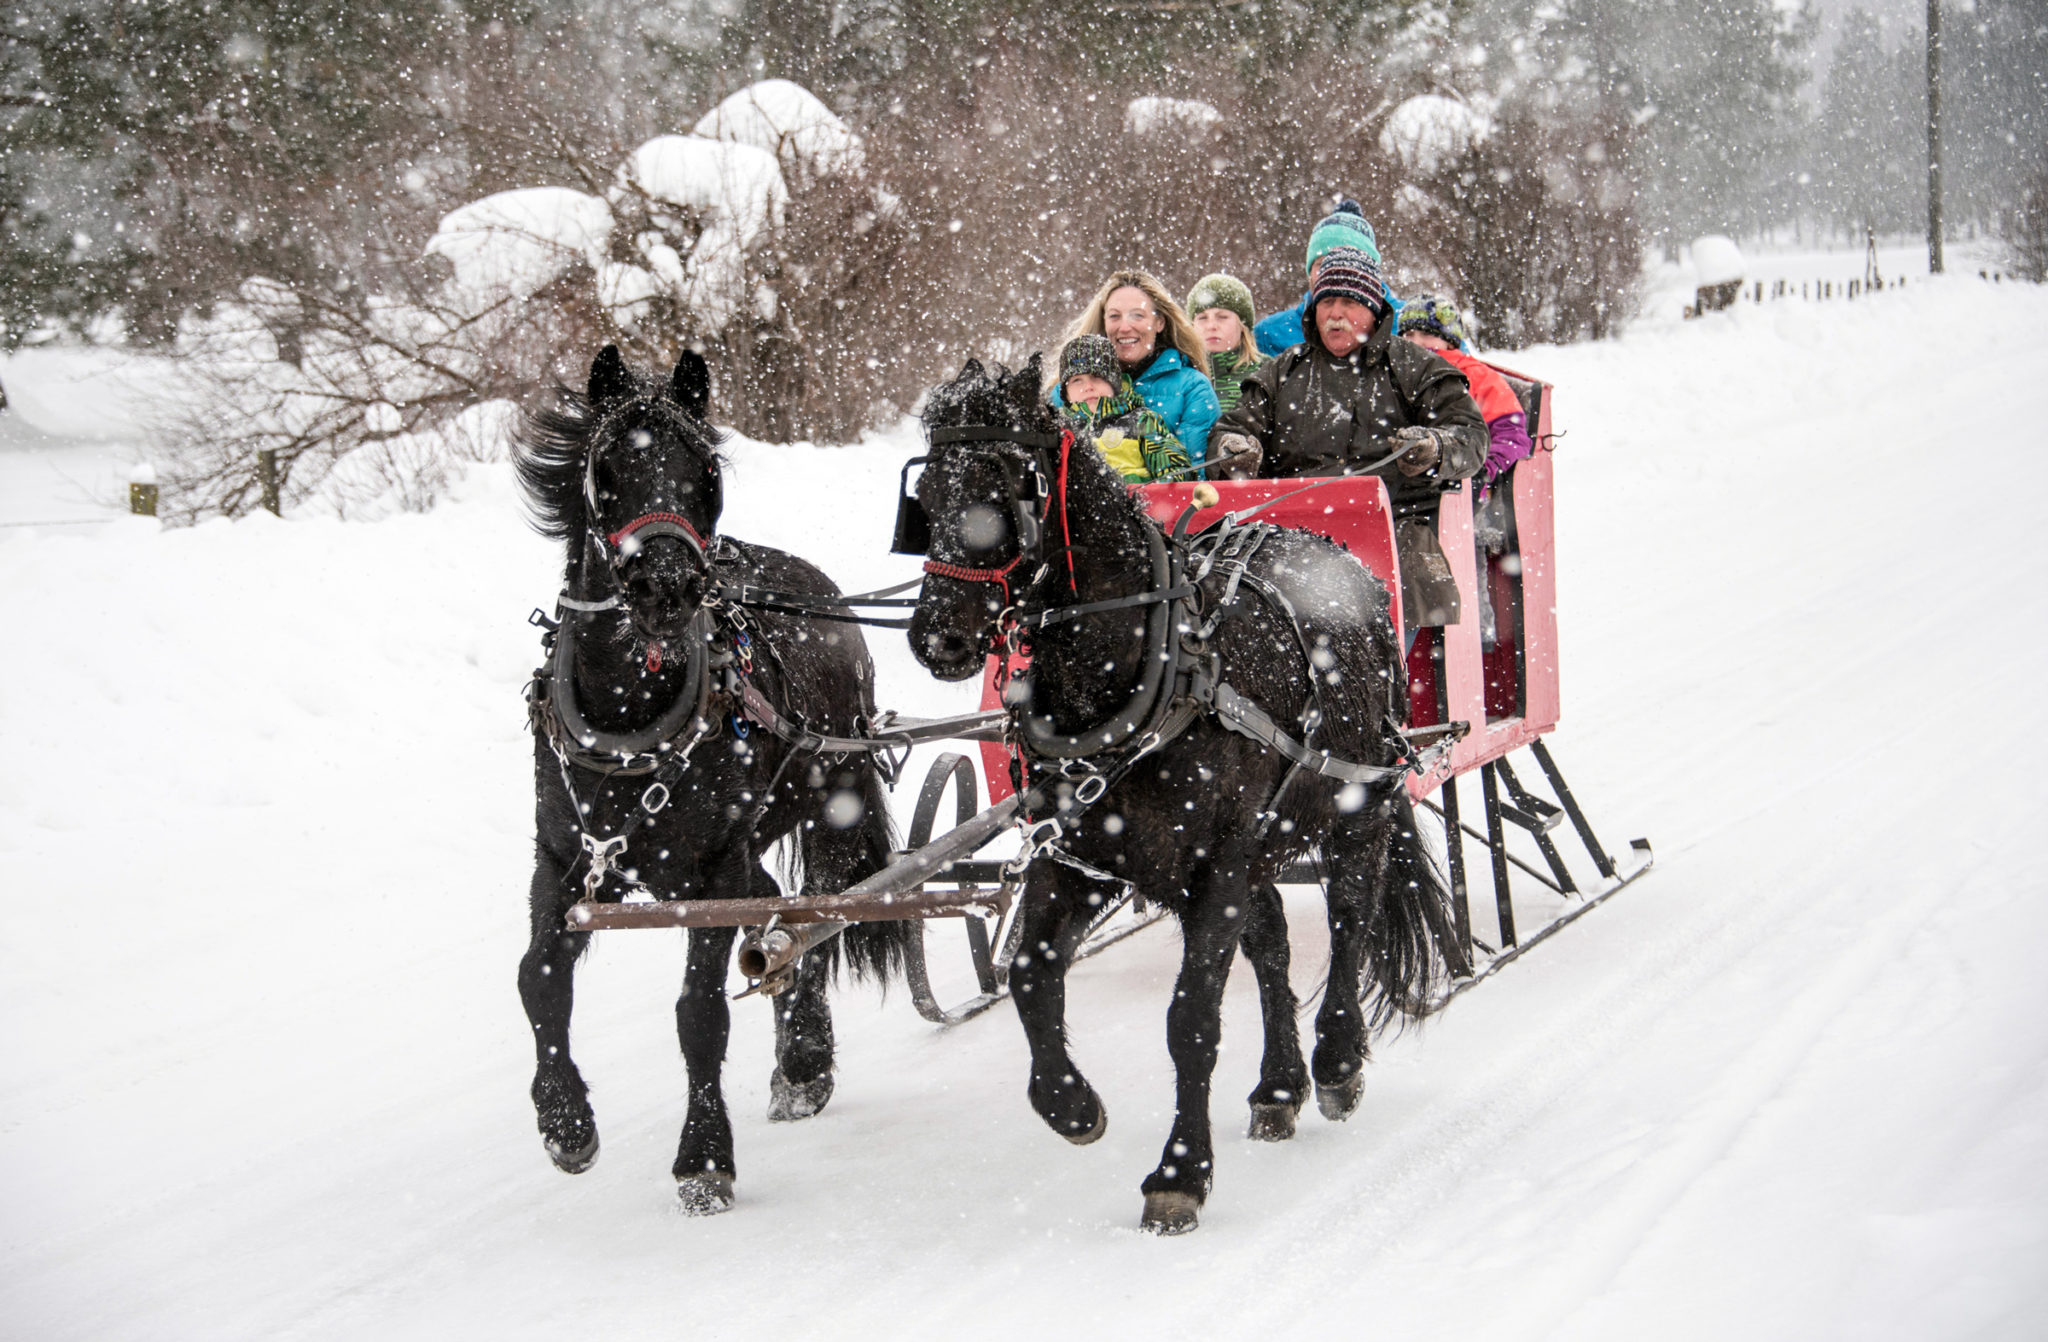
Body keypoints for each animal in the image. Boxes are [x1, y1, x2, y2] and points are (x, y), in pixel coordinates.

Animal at [512, 346, 905, 1221]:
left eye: (706, 469)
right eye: (609, 466)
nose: (668, 586)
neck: (630, 715)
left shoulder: (711, 871)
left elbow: (699, 1014)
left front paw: (703, 1158)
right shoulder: (562, 862)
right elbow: (537, 980)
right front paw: (565, 1122)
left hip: (831, 803)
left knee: (812, 914)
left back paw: (804, 1061)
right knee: (780, 916)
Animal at [905, 360, 1466, 1237]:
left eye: (1004, 490)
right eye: (925, 496)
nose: (938, 637)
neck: (1146, 668)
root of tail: (1337, 555)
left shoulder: (1215, 872)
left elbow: (1191, 1020)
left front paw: (1179, 1175)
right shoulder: (1085, 859)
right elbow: (1030, 975)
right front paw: (1072, 1106)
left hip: (1356, 808)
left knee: (1352, 916)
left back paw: (1336, 1060)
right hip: (1264, 845)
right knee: (1273, 944)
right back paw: (1279, 1085)